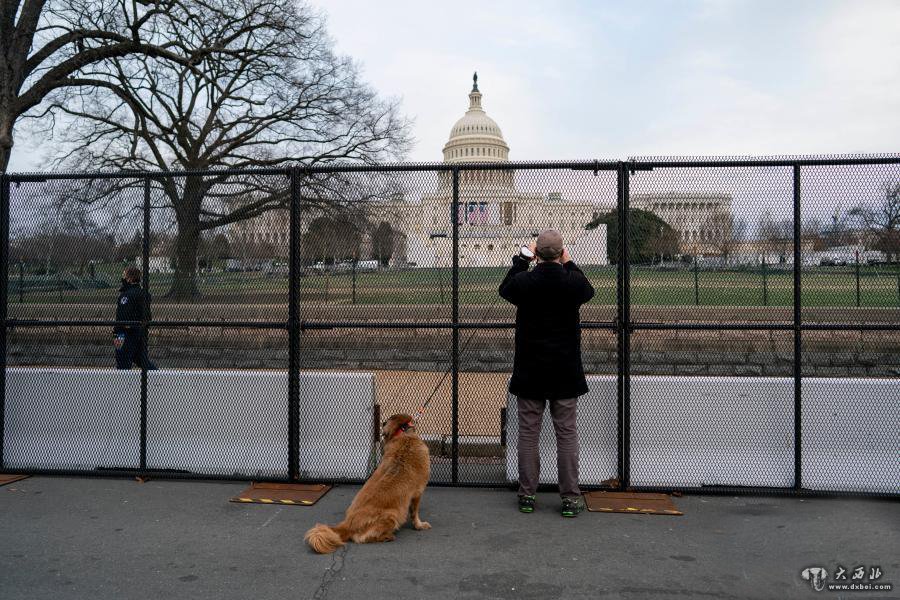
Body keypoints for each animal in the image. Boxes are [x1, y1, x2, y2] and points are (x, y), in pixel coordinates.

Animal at [306, 412, 432, 552]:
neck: (404, 436)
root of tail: (348, 524)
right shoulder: (417, 493)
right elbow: (415, 513)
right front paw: (419, 525)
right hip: (394, 514)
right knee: (362, 538)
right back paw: (387, 537)